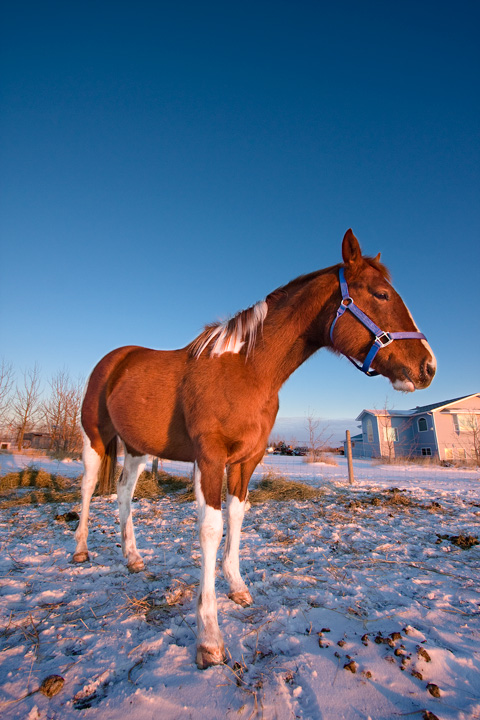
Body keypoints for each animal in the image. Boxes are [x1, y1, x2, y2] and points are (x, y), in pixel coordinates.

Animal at [74, 231, 436, 668]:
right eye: (381, 294)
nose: (428, 367)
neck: (247, 370)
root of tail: (115, 359)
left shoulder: (247, 460)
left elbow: (236, 515)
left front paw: (237, 586)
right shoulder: (210, 458)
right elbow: (211, 529)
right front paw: (209, 637)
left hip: (139, 450)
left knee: (124, 494)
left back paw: (132, 558)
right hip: (95, 440)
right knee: (88, 488)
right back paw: (80, 551)